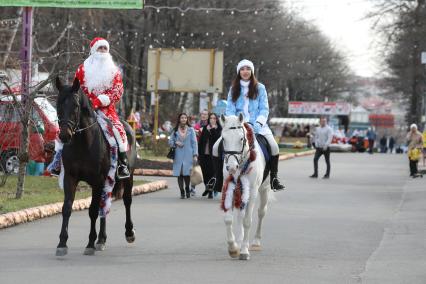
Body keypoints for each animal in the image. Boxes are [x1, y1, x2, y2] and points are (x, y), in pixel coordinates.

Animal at [54, 76, 136, 256]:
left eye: (76, 106)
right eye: (58, 104)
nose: (64, 135)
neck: (83, 143)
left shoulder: (98, 180)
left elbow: (92, 211)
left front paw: (90, 243)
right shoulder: (70, 178)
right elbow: (67, 208)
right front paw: (62, 243)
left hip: (128, 178)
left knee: (126, 201)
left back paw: (129, 233)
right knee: (104, 206)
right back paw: (102, 239)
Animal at [221, 114, 272, 260]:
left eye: (241, 138)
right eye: (223, 139)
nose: (232, 167)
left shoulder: (253, 192)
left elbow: (247, 221)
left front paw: (244, 251)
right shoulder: (229, 189)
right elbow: (229, 219)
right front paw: (233, 248)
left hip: (264, 189)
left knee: (261, 212)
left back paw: (255, 242)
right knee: (240, 214)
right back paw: (239, 241)